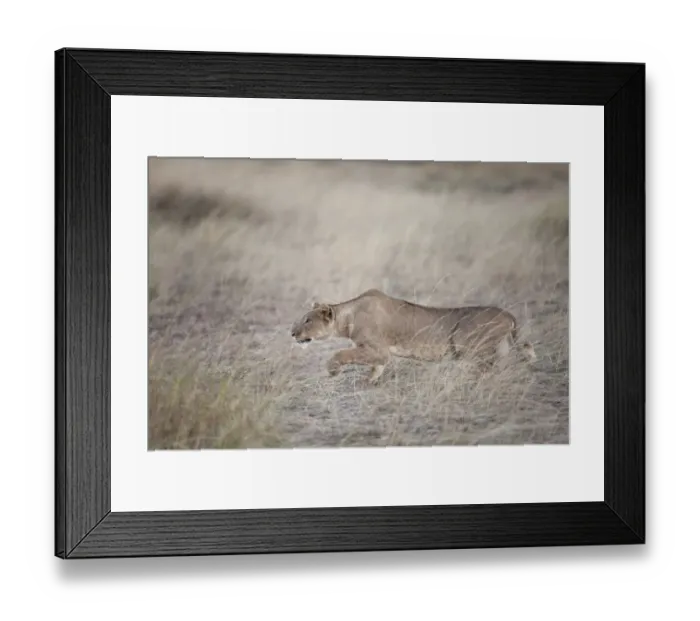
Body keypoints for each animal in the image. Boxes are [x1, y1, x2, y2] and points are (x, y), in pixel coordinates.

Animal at [290, 289, 536, 384]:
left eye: (307, 320)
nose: (292, 333)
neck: (348, 315)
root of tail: (509, 315)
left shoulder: (378, 349)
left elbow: (342, 353)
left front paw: (333, 369)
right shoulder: (379, 354)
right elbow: (376, 367)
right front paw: (369, 381)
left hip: (468, 344)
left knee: (490, 366)